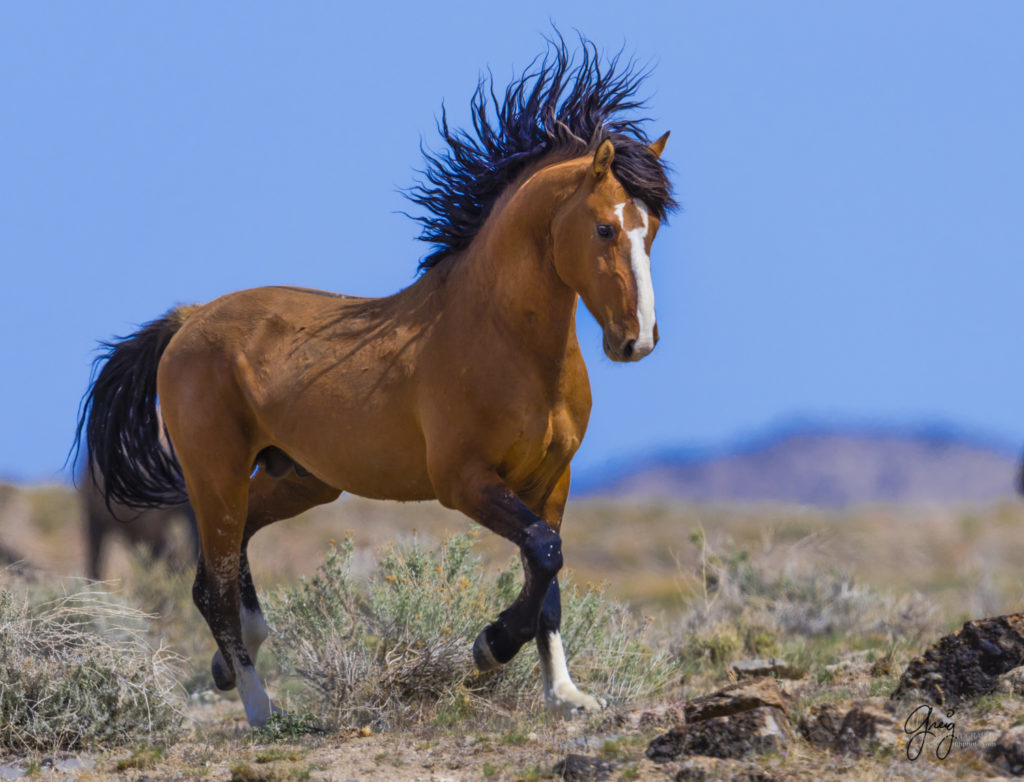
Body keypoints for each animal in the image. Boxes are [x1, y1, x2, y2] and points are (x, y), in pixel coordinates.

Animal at [77, 39, 671, 728]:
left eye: (653, 229)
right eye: (605, 228)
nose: (637, 340)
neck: (501, 337)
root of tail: (191, 319)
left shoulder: (552, 480)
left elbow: (545, 572)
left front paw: (566, 694)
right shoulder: (463, 481)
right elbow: (545, 555)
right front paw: (490, 646)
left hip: (300, 478)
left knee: (228, 558)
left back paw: (237, 660)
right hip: (215, 473)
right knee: (213, 583)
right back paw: (260, 705)